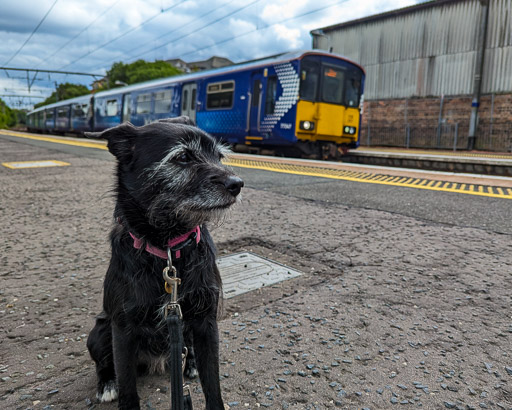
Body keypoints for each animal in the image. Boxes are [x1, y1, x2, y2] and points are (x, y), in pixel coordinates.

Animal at [85, 116, 243, 410]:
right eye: (182, 157)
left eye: (218, 156)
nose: (237, 184)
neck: (168, 247)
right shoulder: (122, 330)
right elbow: (128, 388)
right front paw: (116, 388)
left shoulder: (206, 323)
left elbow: (213, 384)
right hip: (99, 331)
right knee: (104, 364)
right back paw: (107, 383)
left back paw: (190, 364)